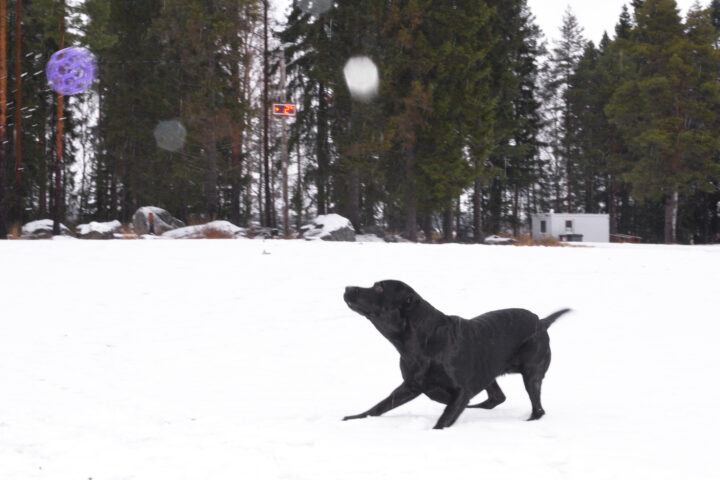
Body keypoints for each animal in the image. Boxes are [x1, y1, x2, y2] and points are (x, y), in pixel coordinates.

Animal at [340, 280, 572, 430]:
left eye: (379, 288)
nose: (348, 287)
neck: (420, 341)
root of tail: (541, 321)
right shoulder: (410, 386)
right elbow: (379, 407)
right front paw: (354, 418)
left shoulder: (461, 390)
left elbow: (443, 421)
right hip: (489, 369)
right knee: (496, 397)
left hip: (532, 374)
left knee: (538, 408)